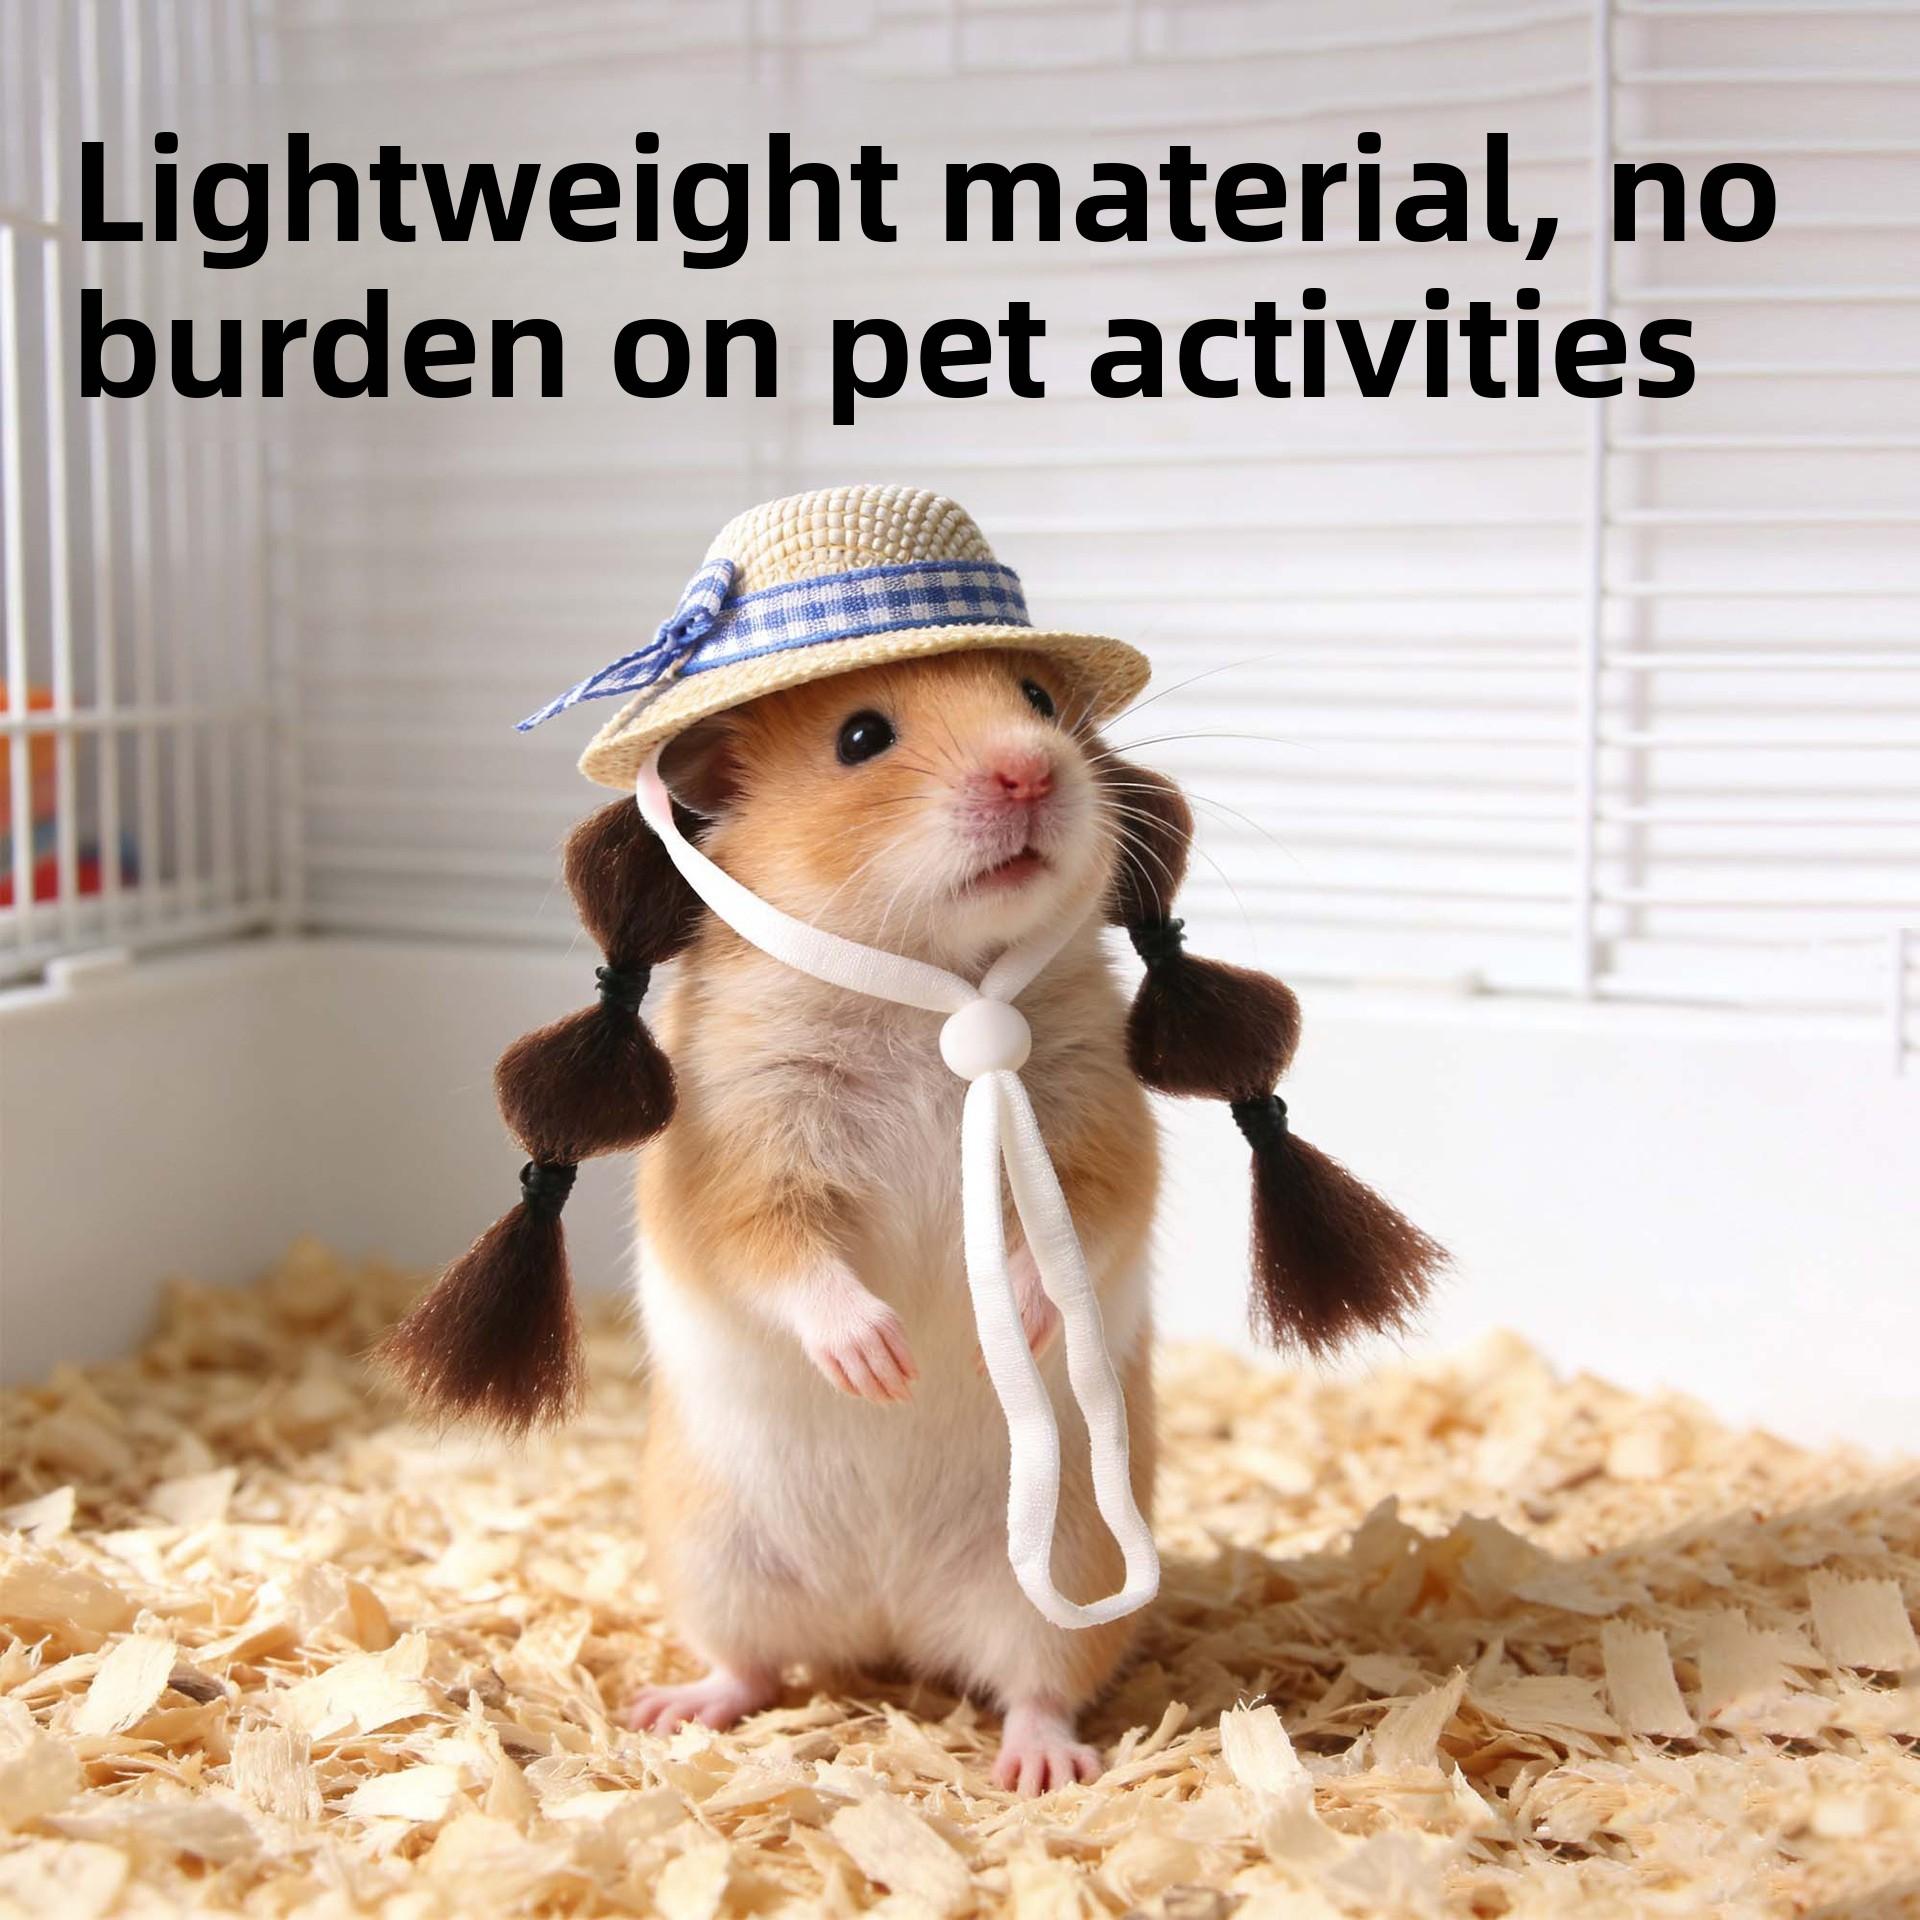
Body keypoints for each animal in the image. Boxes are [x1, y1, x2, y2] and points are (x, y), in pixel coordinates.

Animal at [623, 648, 1159, 1792]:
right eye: (861, 738)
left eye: (1037, 701)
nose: (1029, 770)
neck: (934, 992)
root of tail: (888, 1621)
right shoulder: (738, 1152)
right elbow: (780, 1254)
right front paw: (883, 1365)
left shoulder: (1098, 1125)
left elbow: (1076, 1237)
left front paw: (1018, 1322)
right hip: (712, 1558)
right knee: (750, 1665)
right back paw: (671, 1711)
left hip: (1068, 1565)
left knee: (1038, 1683)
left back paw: (1040, 1770)